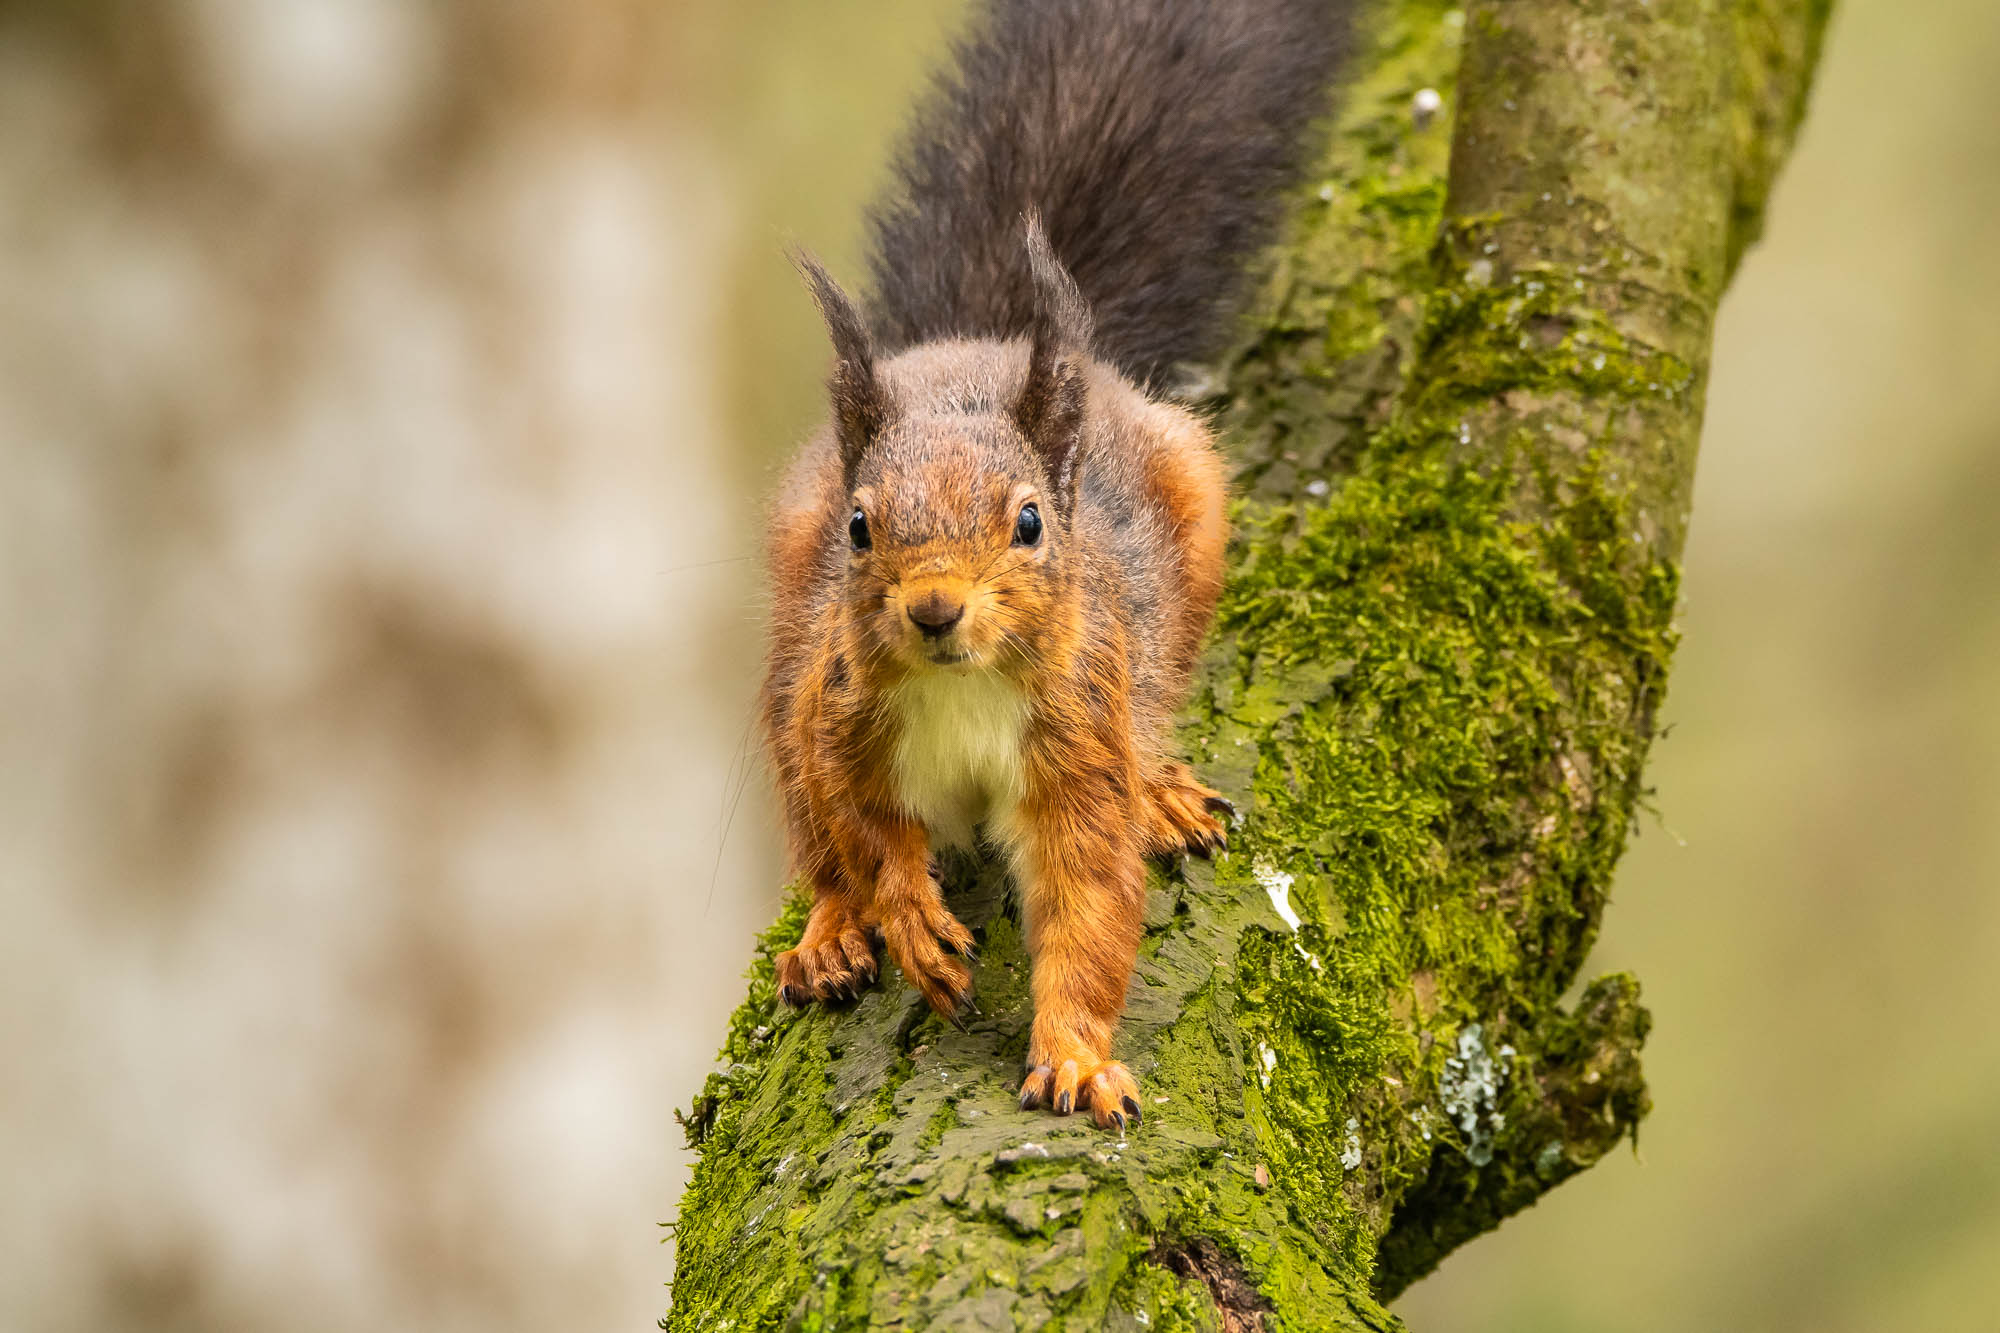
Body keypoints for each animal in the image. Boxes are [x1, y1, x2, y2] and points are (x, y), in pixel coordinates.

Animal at [762, 0, 1352, 1130]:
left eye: (1030, 522)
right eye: (858, 529)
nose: (934, 608)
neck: (959, 691)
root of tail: (973, 340)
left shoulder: (1075, 745)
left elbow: (1088, 903)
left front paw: (1077, 1056)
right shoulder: (839, 716)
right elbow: (863, 831)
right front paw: (906, 918)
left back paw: (1162, 787)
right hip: (784, 666)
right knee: (810, 827)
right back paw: (829, 932)